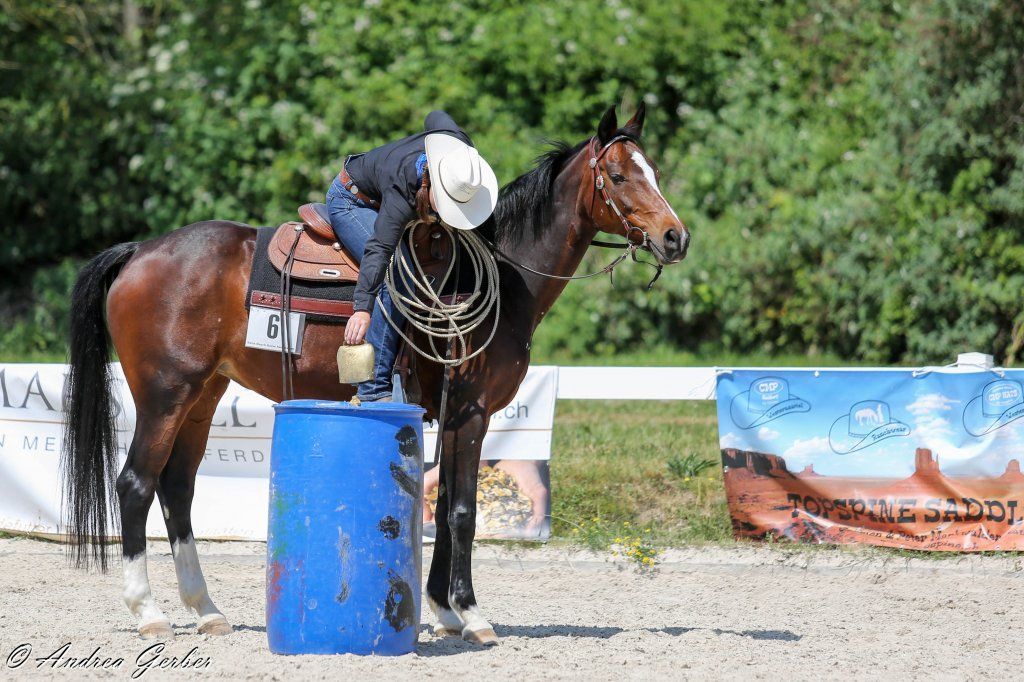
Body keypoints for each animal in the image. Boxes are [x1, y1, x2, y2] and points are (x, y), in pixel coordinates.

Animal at [61, 103, 689, 645]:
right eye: (617, 175)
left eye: (654, 171)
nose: (675, 237)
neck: (504, 278)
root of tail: (141, 251)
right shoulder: (470, 410)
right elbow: (463, 511)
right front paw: (472, 614)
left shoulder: (457, 417)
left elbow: (447, 505)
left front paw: (444, 611)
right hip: (165, 394)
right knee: (136, 484)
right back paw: (149, 612)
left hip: (203, 396)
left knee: (178, 487)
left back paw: (207, 610)